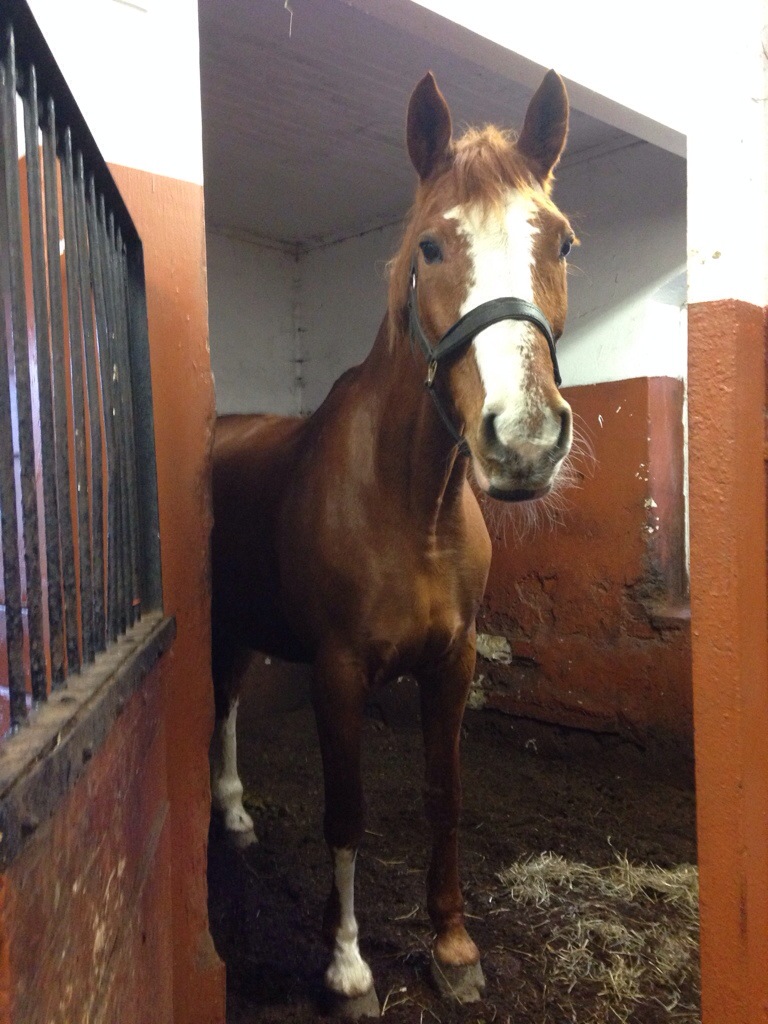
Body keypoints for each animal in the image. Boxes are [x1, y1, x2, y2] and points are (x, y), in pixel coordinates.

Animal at [210, 68, 575, 1017]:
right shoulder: (338, 672)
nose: (524, 439)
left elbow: (444, 798)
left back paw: (236, 814)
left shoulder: (453, 665)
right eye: (431, 248)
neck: (414, 508)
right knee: (219, 702)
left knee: (230, 700)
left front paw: (452, 949)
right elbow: (347, 813)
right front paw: (346, 968)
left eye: (561, 241)